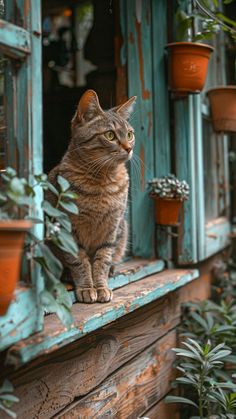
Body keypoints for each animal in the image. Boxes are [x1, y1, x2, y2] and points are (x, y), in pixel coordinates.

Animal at [47, 90, 136, 304]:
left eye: (130, 134)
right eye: (110, 135)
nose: (129, 148)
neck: (102, 182)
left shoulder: (111, 228)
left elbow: (102, 260)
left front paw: (101, 286)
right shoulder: (68, 229)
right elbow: (80, 261)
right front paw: (87, 287)